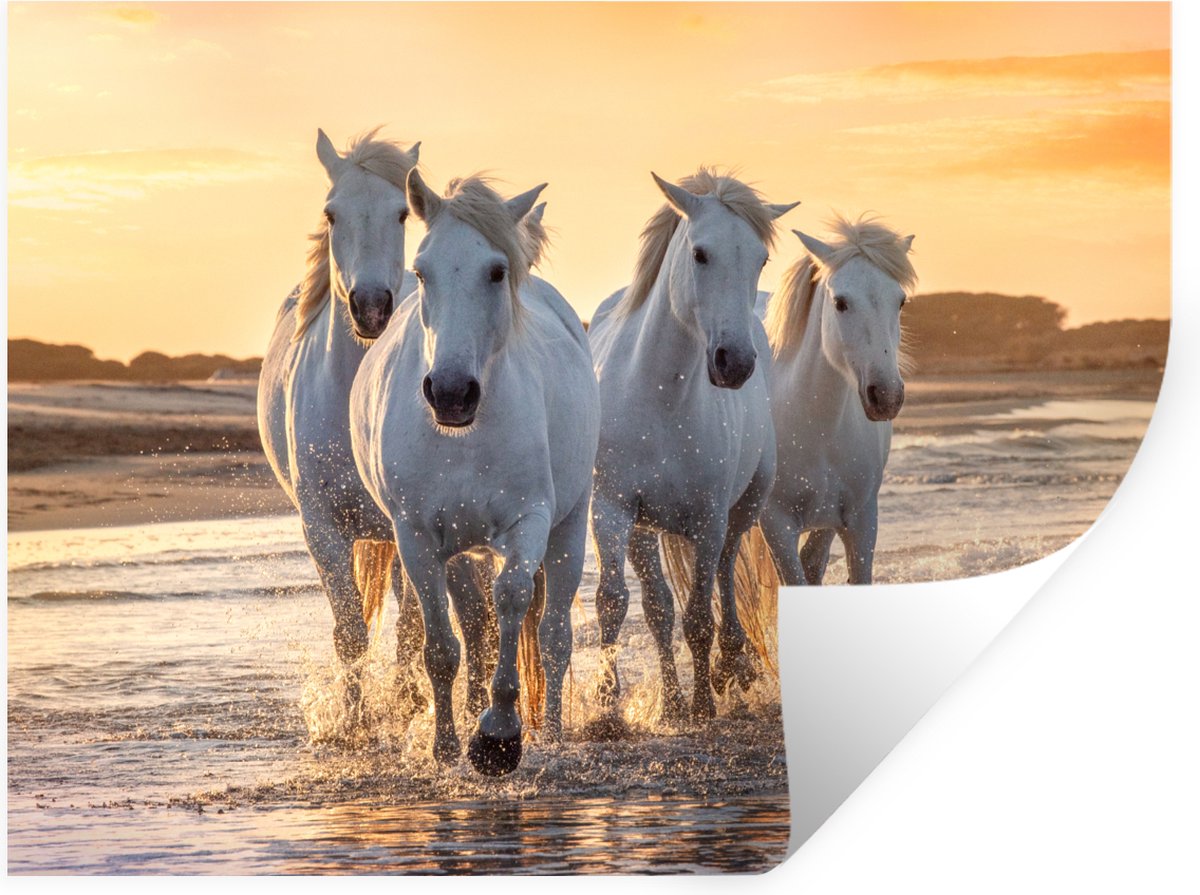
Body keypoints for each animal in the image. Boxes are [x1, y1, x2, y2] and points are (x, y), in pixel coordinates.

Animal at [257, 129, 501, 718]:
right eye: (331, 213)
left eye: (401, 215)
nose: (370, 307)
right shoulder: (322, 529)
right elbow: (350, 632)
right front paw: (354, 721)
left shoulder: (412, 529)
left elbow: (414, 628)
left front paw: (408, 705)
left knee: (476, 621)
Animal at [350, 172, 599, 776]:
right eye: (422, 271)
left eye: (496, 271)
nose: (450, 392)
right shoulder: (416, 536)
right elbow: (442, 645)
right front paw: (445, 747)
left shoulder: (529, 521)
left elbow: (512, 599)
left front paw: (498, 735)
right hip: (462, 549)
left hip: (569, 527)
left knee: (554, 637)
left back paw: (552, 733)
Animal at [587, 169, 798, 724]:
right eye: (700, 254)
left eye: (759, 259)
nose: (734, 363)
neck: (660, 396)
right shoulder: (612, 509)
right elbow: (616, 602)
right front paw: (608, 709)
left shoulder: (707, 519)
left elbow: (701, 614)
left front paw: (705, 701)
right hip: (645, 529)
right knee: (659, 606)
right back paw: (674, 700)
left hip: (742, 509)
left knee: (724, 574)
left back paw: (731, 666)